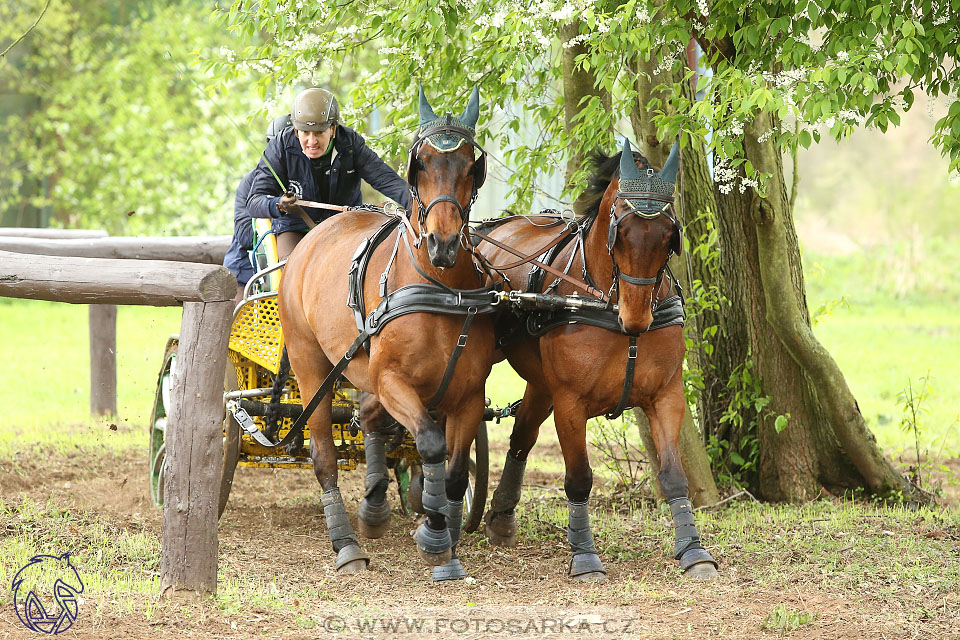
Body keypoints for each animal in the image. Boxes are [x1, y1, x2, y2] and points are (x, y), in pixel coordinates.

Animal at [274, 86, 492, 576]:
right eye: (421, 163)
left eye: (471, 166)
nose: (443, 243)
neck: (440, 290)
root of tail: (319, 232)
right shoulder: (392, 380)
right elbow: (429, 442)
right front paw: (433, 534)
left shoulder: (469, 395)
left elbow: (455, 471)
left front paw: (443, 535)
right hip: (312, 364)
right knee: (324, 454)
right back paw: (347, 544)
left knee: (370, 419)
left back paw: (374, 507)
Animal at [476, 139, 716, 580]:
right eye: (620, 231)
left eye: (668, 235)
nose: (636, 317)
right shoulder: (570, 404)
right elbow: (579, 479)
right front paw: (585, 556)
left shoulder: (666, 395)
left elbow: (675, 477)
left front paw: (693, 550)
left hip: (541, 383)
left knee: (522, 436)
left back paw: (501, 515)